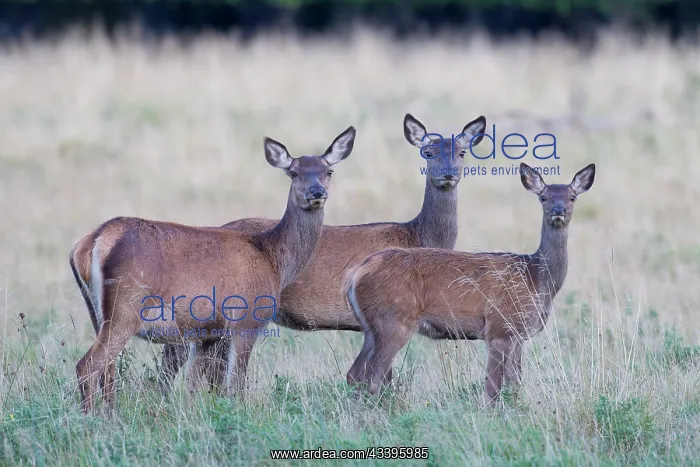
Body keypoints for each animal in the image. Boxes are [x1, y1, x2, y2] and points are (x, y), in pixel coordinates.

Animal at [68, 125, 356, 414]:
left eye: (328, 171)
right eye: (294, 172)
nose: (317, 192)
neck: (273, 258)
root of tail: (94, 241)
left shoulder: (208, 333)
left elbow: (195, 387)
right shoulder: (246, 319)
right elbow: (235, 384)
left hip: (95, 311)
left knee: (107, 370)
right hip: (125, 307)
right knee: (88, 365)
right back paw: (92, 418)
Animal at [343, 162, 595, 404]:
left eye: (572, 197)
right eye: (543, 197)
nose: (558, 211)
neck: (537, 280)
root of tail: (358, 273)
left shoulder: (518, 336)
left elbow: (515, 386)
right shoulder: (499, 328)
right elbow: (492, 390)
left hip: (371, 327)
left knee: (356, 373)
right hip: (393, 320)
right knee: (373, 377)